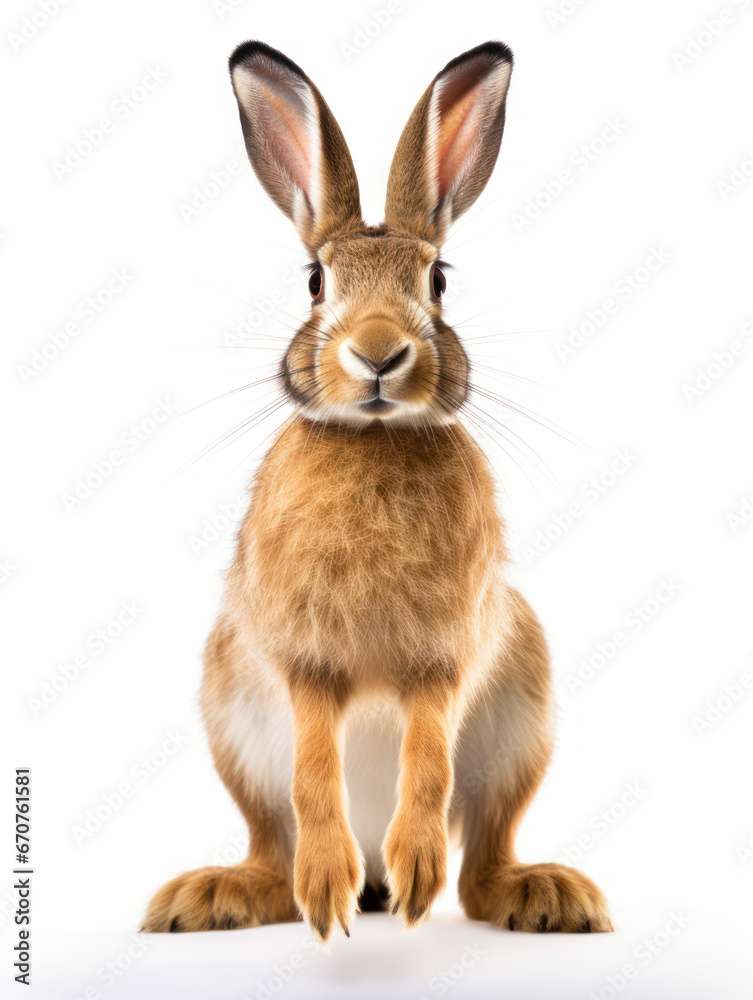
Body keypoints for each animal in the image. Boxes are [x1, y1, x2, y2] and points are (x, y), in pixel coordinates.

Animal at [143, 39, 613, 941]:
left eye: (438, 281)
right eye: (314, 281)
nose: (378, 353)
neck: (375, 442)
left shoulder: (443, 657)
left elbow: (426, 758)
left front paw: (417, 870)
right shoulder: (302, 659)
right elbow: (313, 762)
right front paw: (326, 887)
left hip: (520, 720)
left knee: (484, 856)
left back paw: (532, 893)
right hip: (231, 717)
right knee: (273, 842)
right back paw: (224, 894)